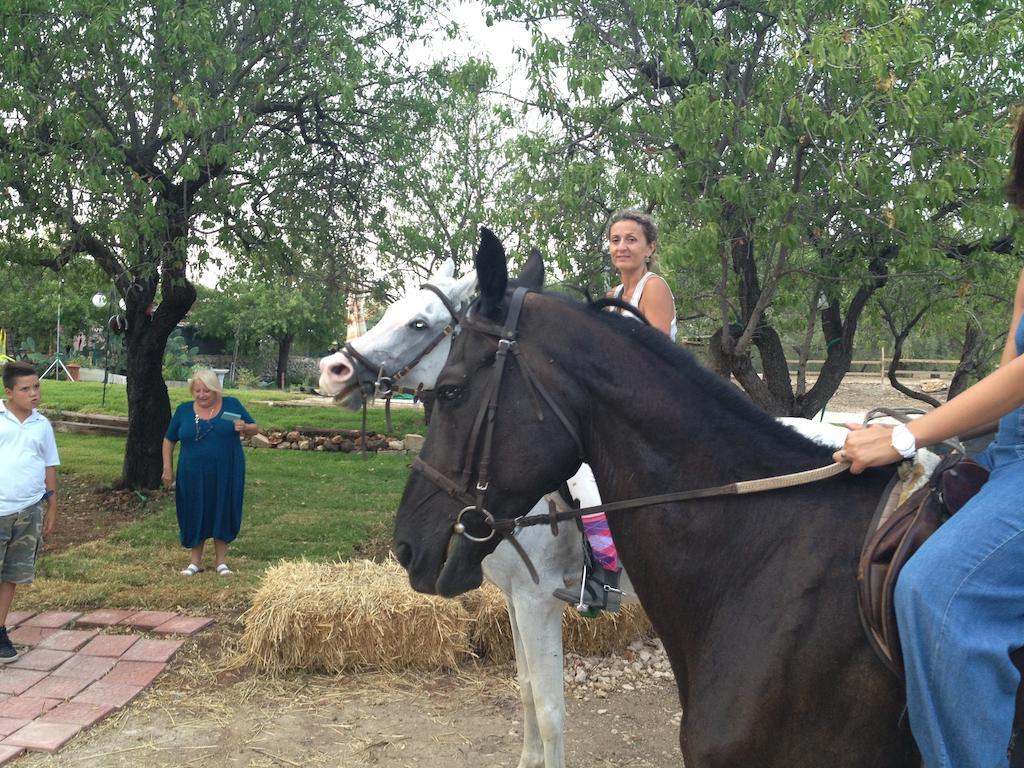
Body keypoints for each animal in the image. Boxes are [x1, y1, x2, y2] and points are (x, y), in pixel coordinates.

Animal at [391, 230, 921, 768]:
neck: (764, 542)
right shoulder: (517, 602)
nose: (406, 545)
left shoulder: (537, 601)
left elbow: (549, 709)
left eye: (451, 390)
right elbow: (524, 691)